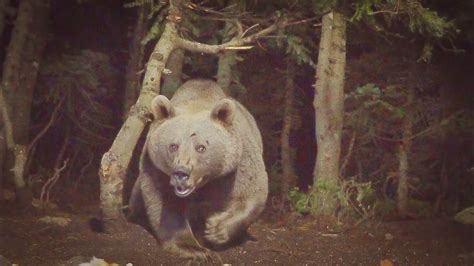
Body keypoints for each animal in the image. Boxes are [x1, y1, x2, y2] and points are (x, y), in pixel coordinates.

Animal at [127, 79, 266, 260]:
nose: (181, 173)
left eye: (201, 147)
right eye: (173, 146)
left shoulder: (239, 161)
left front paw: (215, 229)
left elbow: (251, 192)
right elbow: (166, 202)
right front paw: (194, 249)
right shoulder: (156, 166)